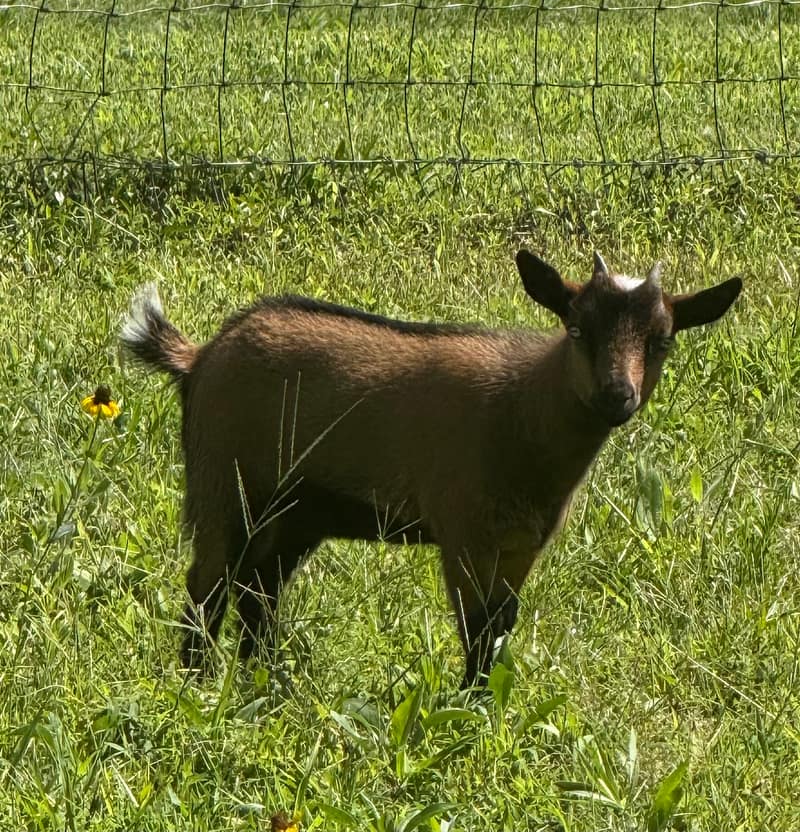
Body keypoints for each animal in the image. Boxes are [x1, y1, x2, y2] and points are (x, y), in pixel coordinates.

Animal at [121, 250, 741, 686]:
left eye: (662, 340)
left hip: (293, 512)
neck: (522, 411)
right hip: (224, 484)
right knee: (208, 585)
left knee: (258, 590)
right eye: (576, 327)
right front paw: (469, 711)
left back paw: (265, 683)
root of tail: (199, 358)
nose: (618, 395)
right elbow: (476, 627)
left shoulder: (520, 544)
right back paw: (199, 686)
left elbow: (501, 625)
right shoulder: (464, 532)